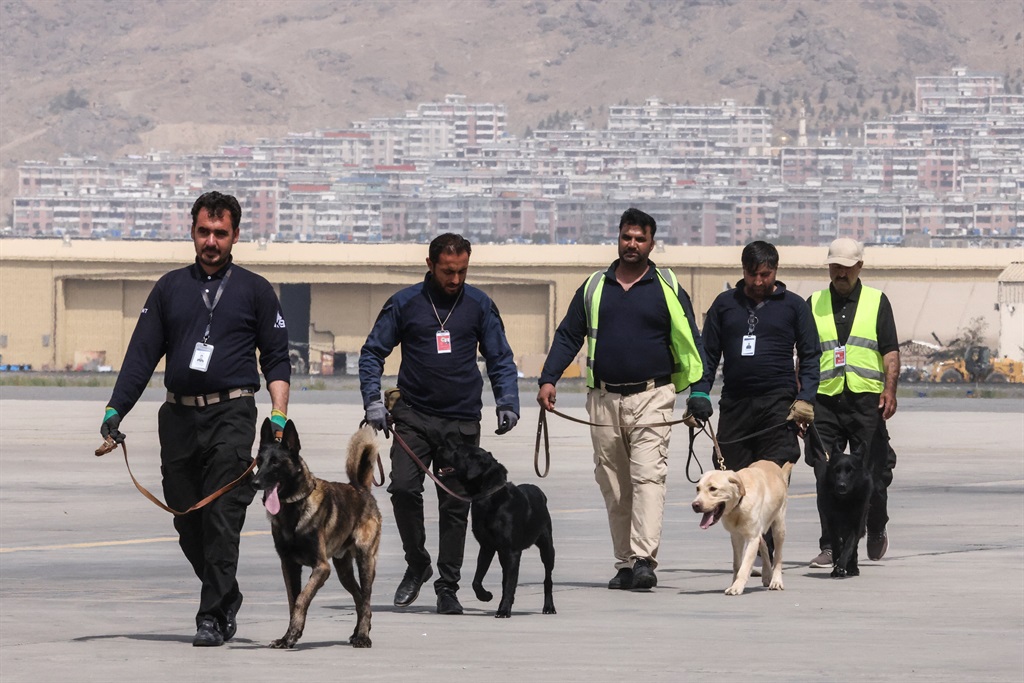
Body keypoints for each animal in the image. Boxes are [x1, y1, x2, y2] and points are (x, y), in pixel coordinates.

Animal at [252, 419, 385, 651]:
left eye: (276, 463)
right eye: (259, 461)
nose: (254, 483)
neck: (294, 508)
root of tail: (361, 489)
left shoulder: (321, 567)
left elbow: (301, 599)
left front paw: (293, 634)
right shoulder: (289, 566)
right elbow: (293, 600)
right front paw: (287, 637)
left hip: (365, 561)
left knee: (366, 597)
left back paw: (362, 636)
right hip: (343, 570)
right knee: (360, 599)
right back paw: (359, 631)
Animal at [440, 444, 552, 618]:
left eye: (457, 450)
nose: (439, 447)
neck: (489, 497)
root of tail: (540, 492)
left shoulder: (512, 551)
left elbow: (509, 584)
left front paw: (504, 610)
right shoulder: (487, 547)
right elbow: (477, 580)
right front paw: (485, 596)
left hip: (547, 545)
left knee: (547, 578)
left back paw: (549, 607)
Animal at [815, 440, 872, 581]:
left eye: (850, 470)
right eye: (836, 470)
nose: (841, 486)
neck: (844, 501)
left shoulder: (856, 525)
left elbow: (849, 547)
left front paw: (841, 566)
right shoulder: (832, 524)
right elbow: (836, 546)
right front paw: (836, 566)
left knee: (853, 547)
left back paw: (852, 568)